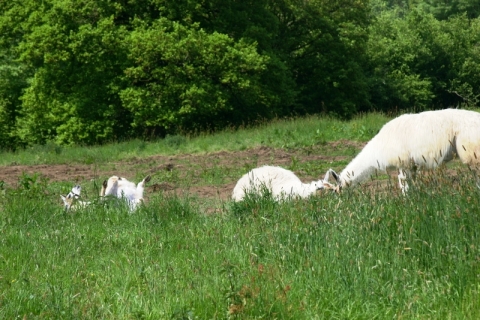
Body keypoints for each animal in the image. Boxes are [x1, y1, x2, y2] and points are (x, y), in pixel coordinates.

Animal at [320, 108, 480, 192]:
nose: (340, 203)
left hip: (471, 149)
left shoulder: (402, 161)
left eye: (337, 190)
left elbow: (403, 184)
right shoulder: (411, 164)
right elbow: (412, 182)